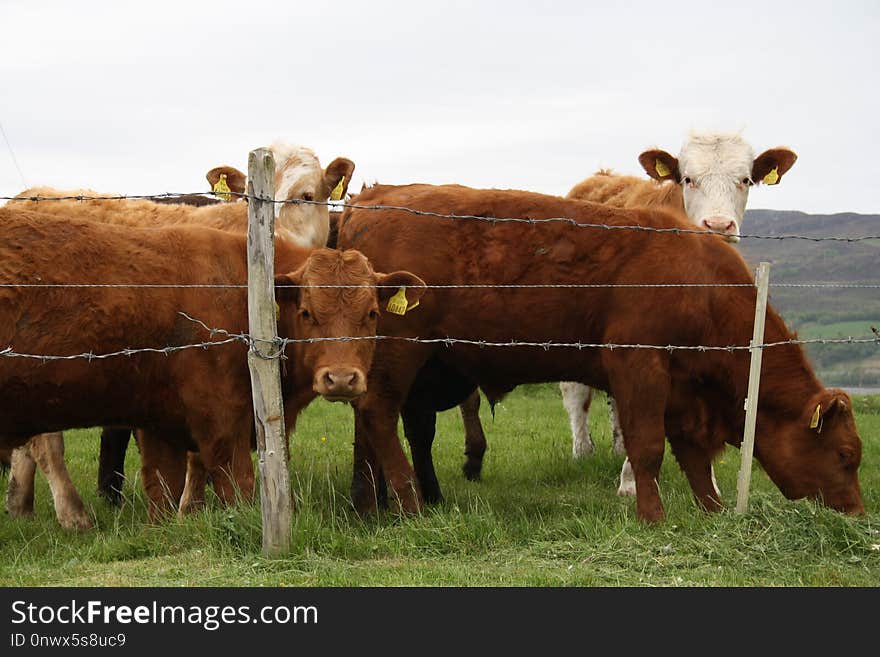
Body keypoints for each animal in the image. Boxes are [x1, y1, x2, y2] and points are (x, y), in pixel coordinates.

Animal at [0, 208, 426, 520]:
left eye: (372, 314)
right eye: (306, 312)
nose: (340, 379)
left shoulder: (160, 425)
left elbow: (162, 491)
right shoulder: (220, 421)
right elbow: (237, 486)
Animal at [338, 183, 868, 524]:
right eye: (845, 455)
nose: (857, 514)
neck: (702, 287)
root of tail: (372, 197)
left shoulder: (682, 388)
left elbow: (693, 455)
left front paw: (714, 514)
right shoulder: (637, 363)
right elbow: (648, 449)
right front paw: (653, 517)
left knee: (369, 424)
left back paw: (367, 506)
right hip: (401, 351)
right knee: (378, 414)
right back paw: (410, 504)